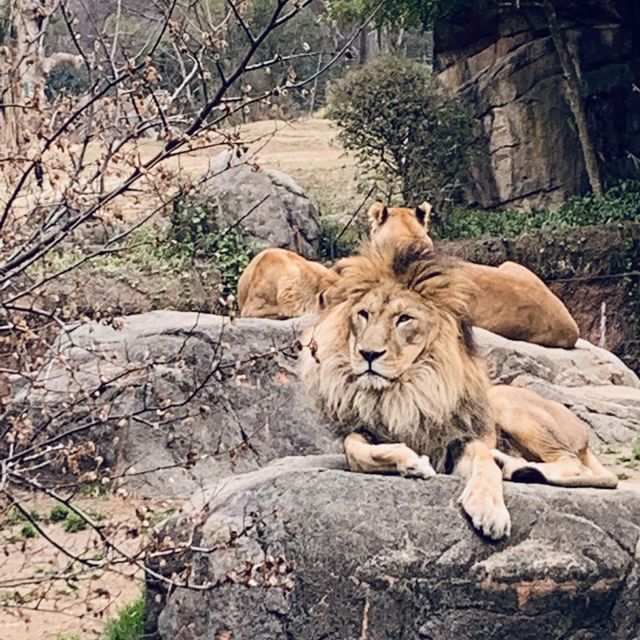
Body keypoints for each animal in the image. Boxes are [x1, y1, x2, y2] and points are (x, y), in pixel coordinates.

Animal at [302, 245, 616, 540]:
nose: (368, 354)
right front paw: (412, 463)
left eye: (403, 318)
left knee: (574, 465)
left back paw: (509, 464)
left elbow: (485, 465)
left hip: (511, 406)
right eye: (364, 315)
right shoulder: (365, 431)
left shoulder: (462, 438)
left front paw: (490, 510)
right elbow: (356, 450)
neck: (407, 390)